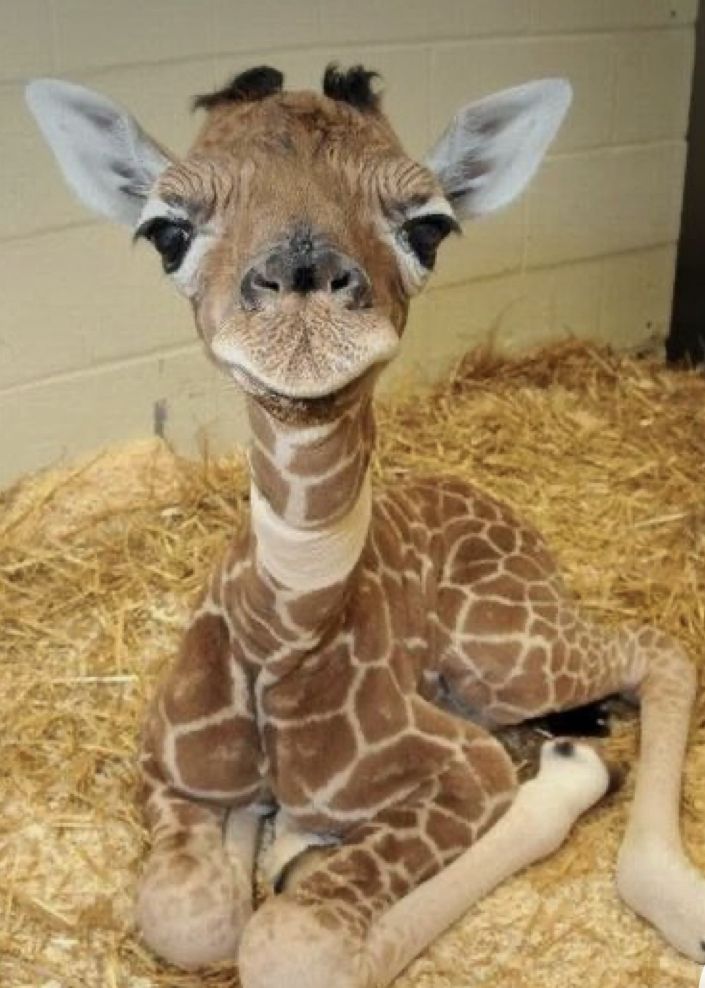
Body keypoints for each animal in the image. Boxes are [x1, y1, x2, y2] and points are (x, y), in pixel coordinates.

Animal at [24, 65, 700, 984]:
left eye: (429, 226)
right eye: (167, 230)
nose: (304, 303)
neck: (281, 641)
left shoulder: (467, 766)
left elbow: (294, 945)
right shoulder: (165, 766)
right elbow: (191, 915)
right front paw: (264, 839)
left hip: (504, 655)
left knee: (659, 648)